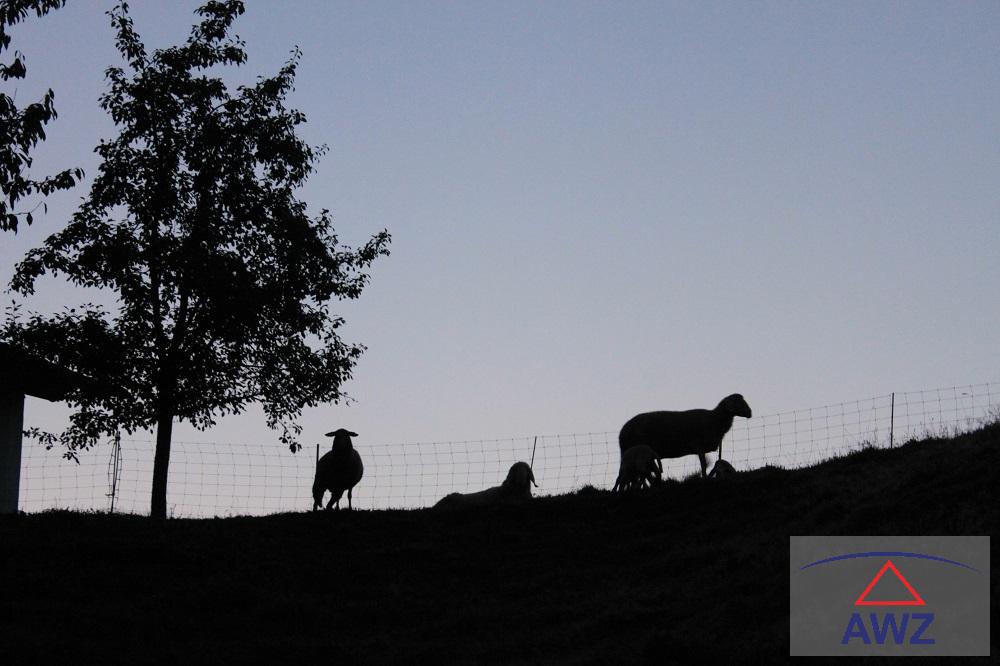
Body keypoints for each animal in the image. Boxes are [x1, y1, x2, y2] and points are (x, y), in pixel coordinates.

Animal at [618, 393, 752, 478]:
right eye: (737, 402)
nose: (750, 412)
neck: (714, 419)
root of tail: (622, 432)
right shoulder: (698, 446)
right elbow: (704, 465)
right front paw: (704, 477)